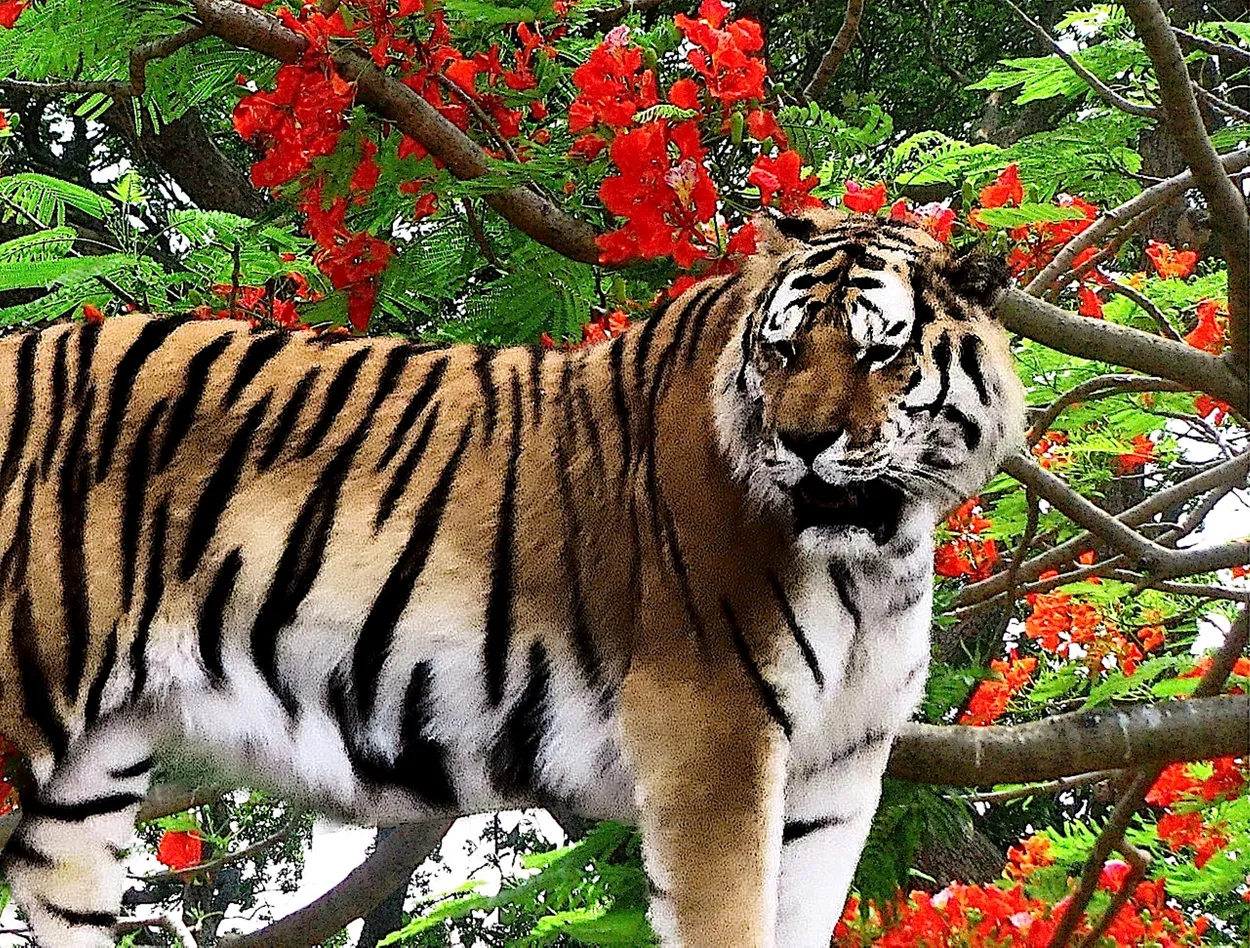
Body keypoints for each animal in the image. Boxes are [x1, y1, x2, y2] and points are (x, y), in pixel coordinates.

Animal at [0, 208, 1024, 948]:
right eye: (783, 351)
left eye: (881, 353)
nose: (803, 441)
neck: (876, 557)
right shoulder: (712, 736)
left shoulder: (837, 771)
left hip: (85, 788)